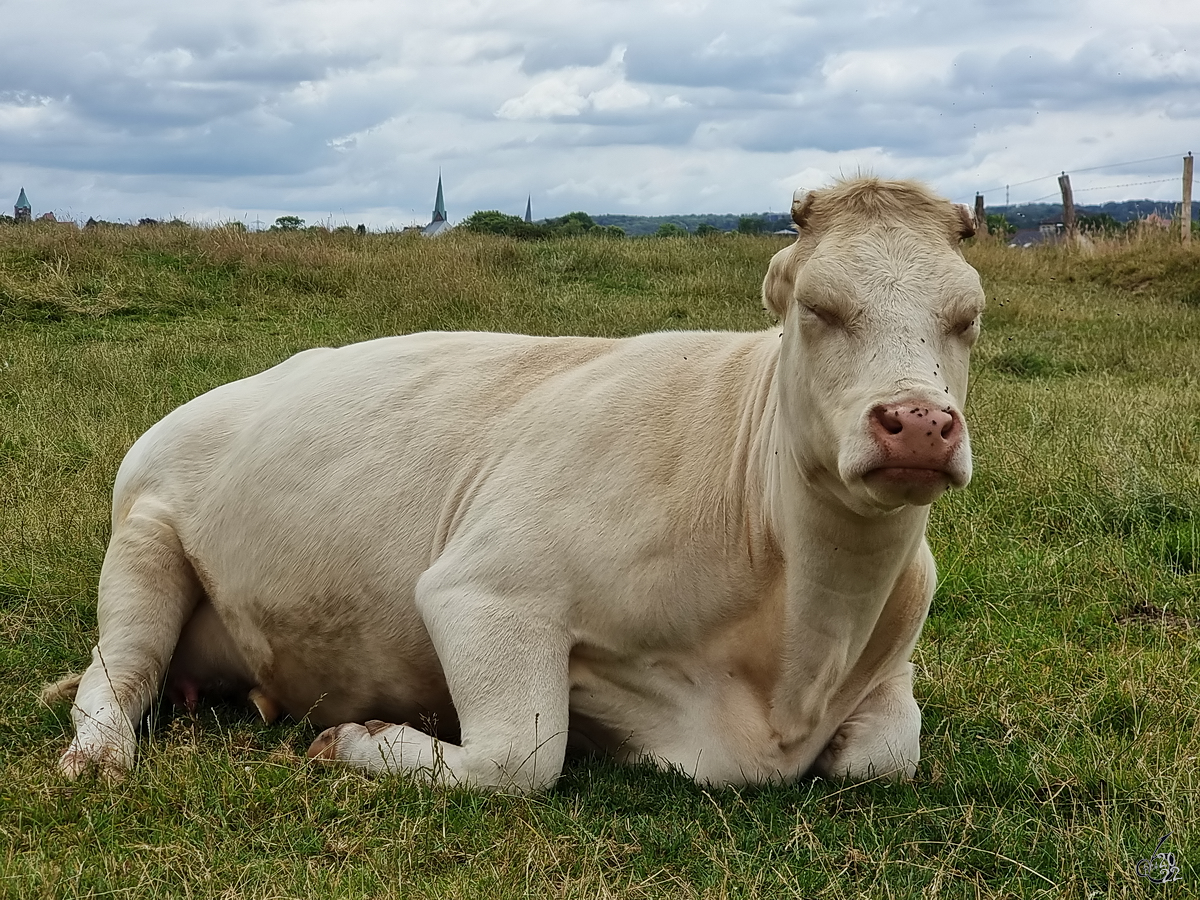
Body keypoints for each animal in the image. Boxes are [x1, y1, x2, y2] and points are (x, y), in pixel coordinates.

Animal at [46, 180, 984, 792]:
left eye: (968, 317)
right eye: (817, 309)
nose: (917, 423)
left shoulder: (890, 668)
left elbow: (887, 757)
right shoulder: (486, 590)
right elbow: (520, 759)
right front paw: (356, 738)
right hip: (143, 541)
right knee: (118, 677)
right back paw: (99, 757)